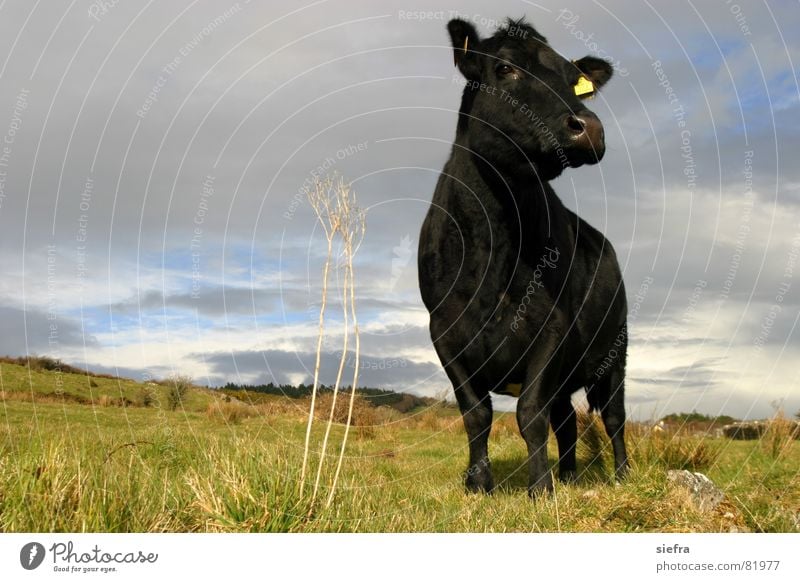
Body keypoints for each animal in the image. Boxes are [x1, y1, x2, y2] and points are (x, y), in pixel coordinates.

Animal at [418, 18, 632, 498]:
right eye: (504, 68)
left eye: (573, 80)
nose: (589, 127)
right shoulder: (444, 331)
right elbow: (476, 414)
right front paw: (478, 483)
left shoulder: (551, 327)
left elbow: (530, 413)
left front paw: (540, 490)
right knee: (567, 420)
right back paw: (569, 474)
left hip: (615, 350)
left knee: (613, 416)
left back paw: (622, 476)